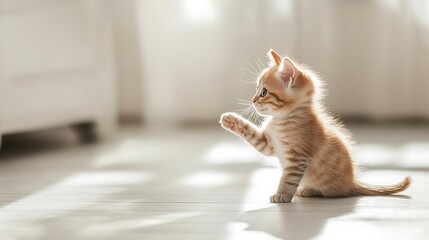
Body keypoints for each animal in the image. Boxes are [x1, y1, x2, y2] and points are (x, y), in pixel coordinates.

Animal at [219, 49, 410, 203]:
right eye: (256, 90)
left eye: (263, 92)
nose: (252, 100)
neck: (282, 120)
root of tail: (351, 182)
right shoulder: (268, 144)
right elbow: (251, 134)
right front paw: (230, 120)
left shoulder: (298, 158)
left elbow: (288, 179)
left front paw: (282, 195)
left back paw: (308, 190)